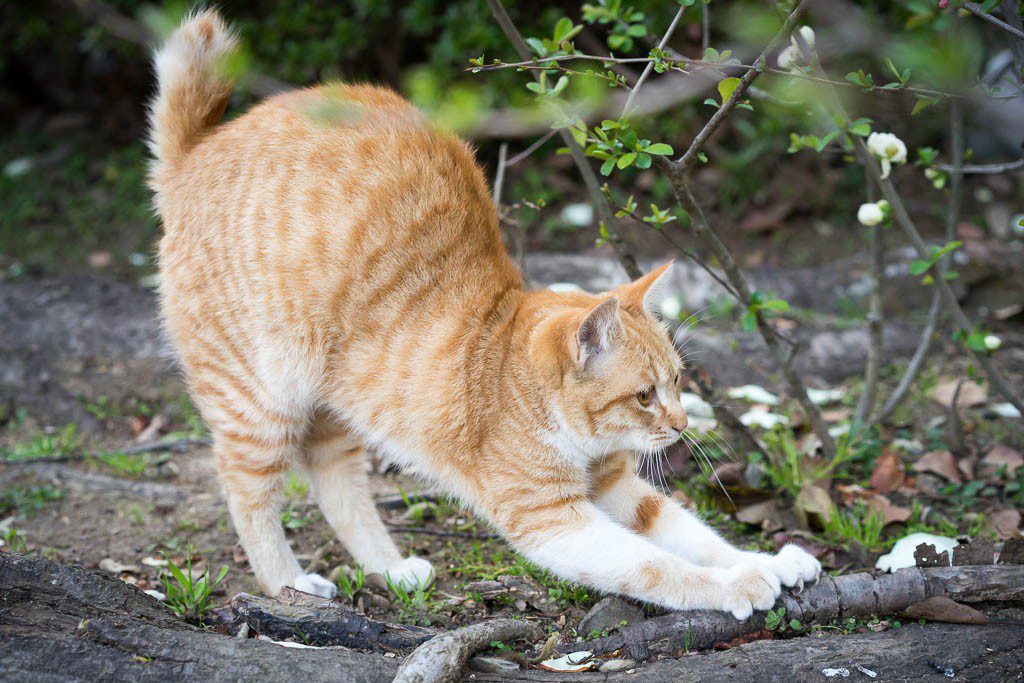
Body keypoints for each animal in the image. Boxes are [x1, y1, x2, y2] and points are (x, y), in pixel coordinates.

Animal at [148, 12, 815, 618]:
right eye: (645, 396)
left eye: (678, 381)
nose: (680, 425)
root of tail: (197, 150)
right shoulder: (551, 518)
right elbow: (657, 565)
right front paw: (735, 586)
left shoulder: (616, 485)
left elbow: (692, 534)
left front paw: (765, 560)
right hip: (259, 399)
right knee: (245, 490)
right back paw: (287, 582)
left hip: (338, 403)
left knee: (336, 480)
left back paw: (390, 569)